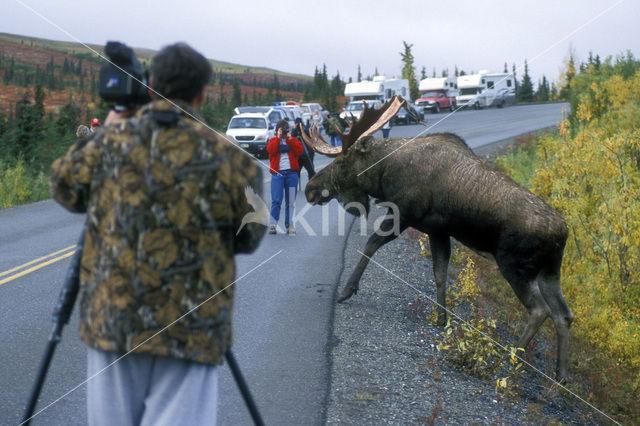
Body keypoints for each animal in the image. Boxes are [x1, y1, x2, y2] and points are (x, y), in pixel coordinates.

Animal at [302, 98, 576, 382]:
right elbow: (440, 274)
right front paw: (441, 318)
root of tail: (562, 232)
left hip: (515, 267)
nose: (310, 189)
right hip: (549, 272)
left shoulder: (403, 214)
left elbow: (371, 244)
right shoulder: (437, 231)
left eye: (342, 162)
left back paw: (505, 363)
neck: (384, 174)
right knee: (564, 314)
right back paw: (561, 374)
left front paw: (347, 290)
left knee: (540, 310)